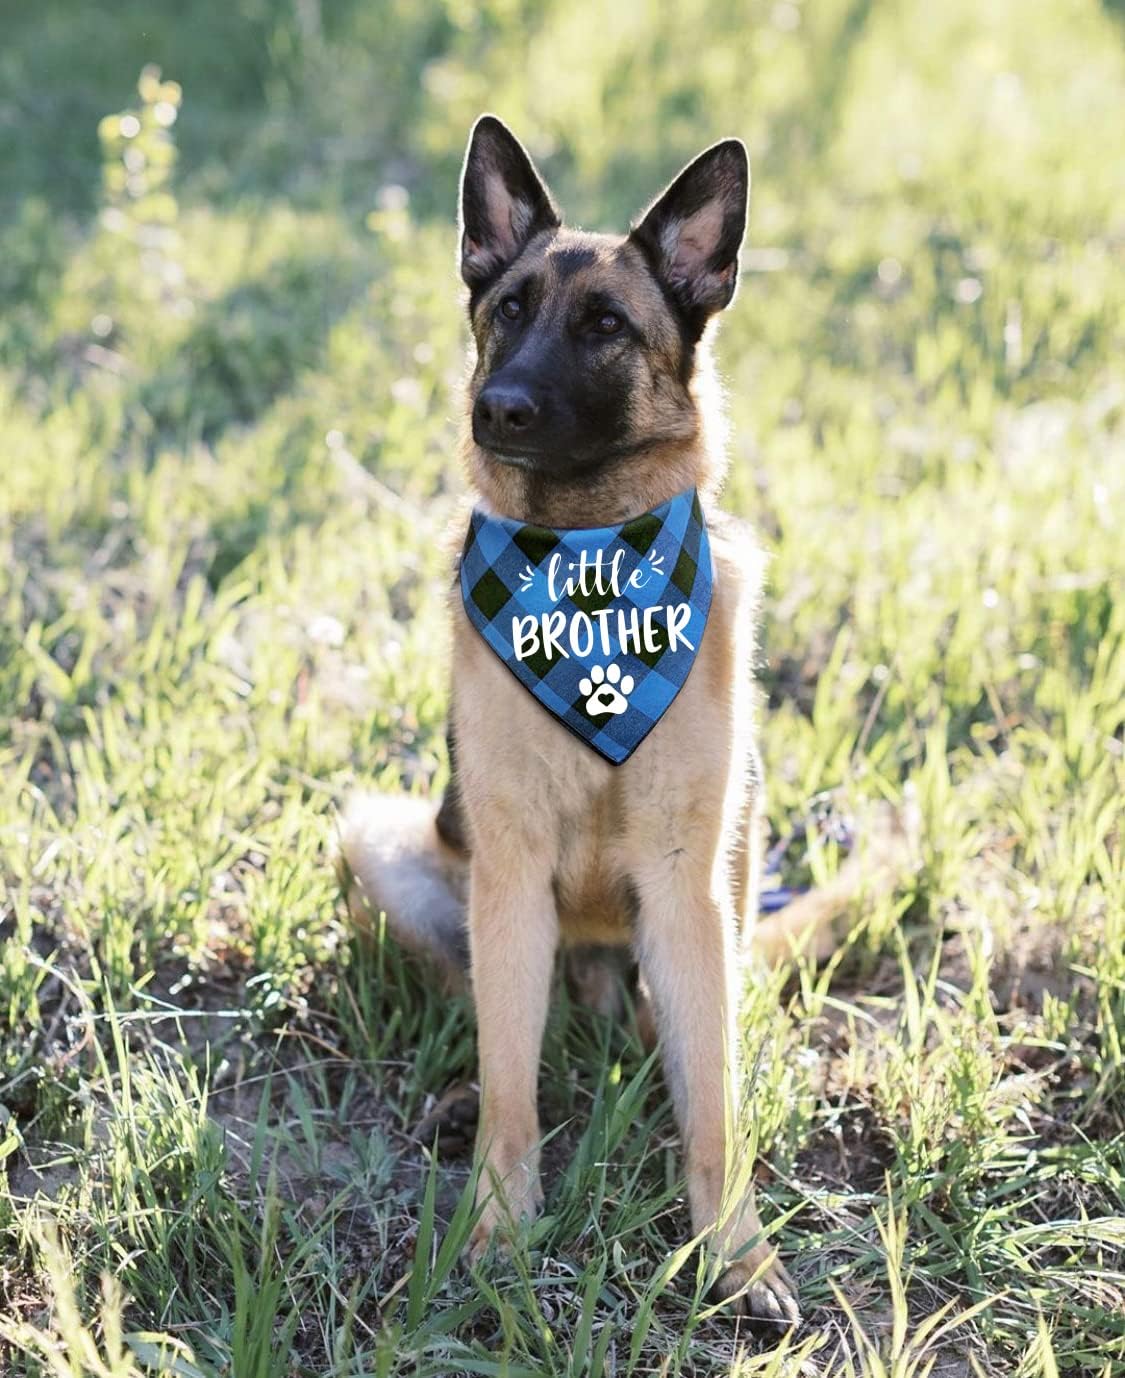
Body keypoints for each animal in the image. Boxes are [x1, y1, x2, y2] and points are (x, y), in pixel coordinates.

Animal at [337, 115, 909, 1322]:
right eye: (508, 309)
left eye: (606, 325)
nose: (496, 409)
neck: (590, 566)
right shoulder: (508, 875)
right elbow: (514, 1086)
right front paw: (497, 1230)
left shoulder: (688, 890)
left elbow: (713, 1115)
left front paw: (736, 1253)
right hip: (389, 847)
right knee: (505, 1024)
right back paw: (465, 1099)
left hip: (718, 900)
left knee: (673, 1042)